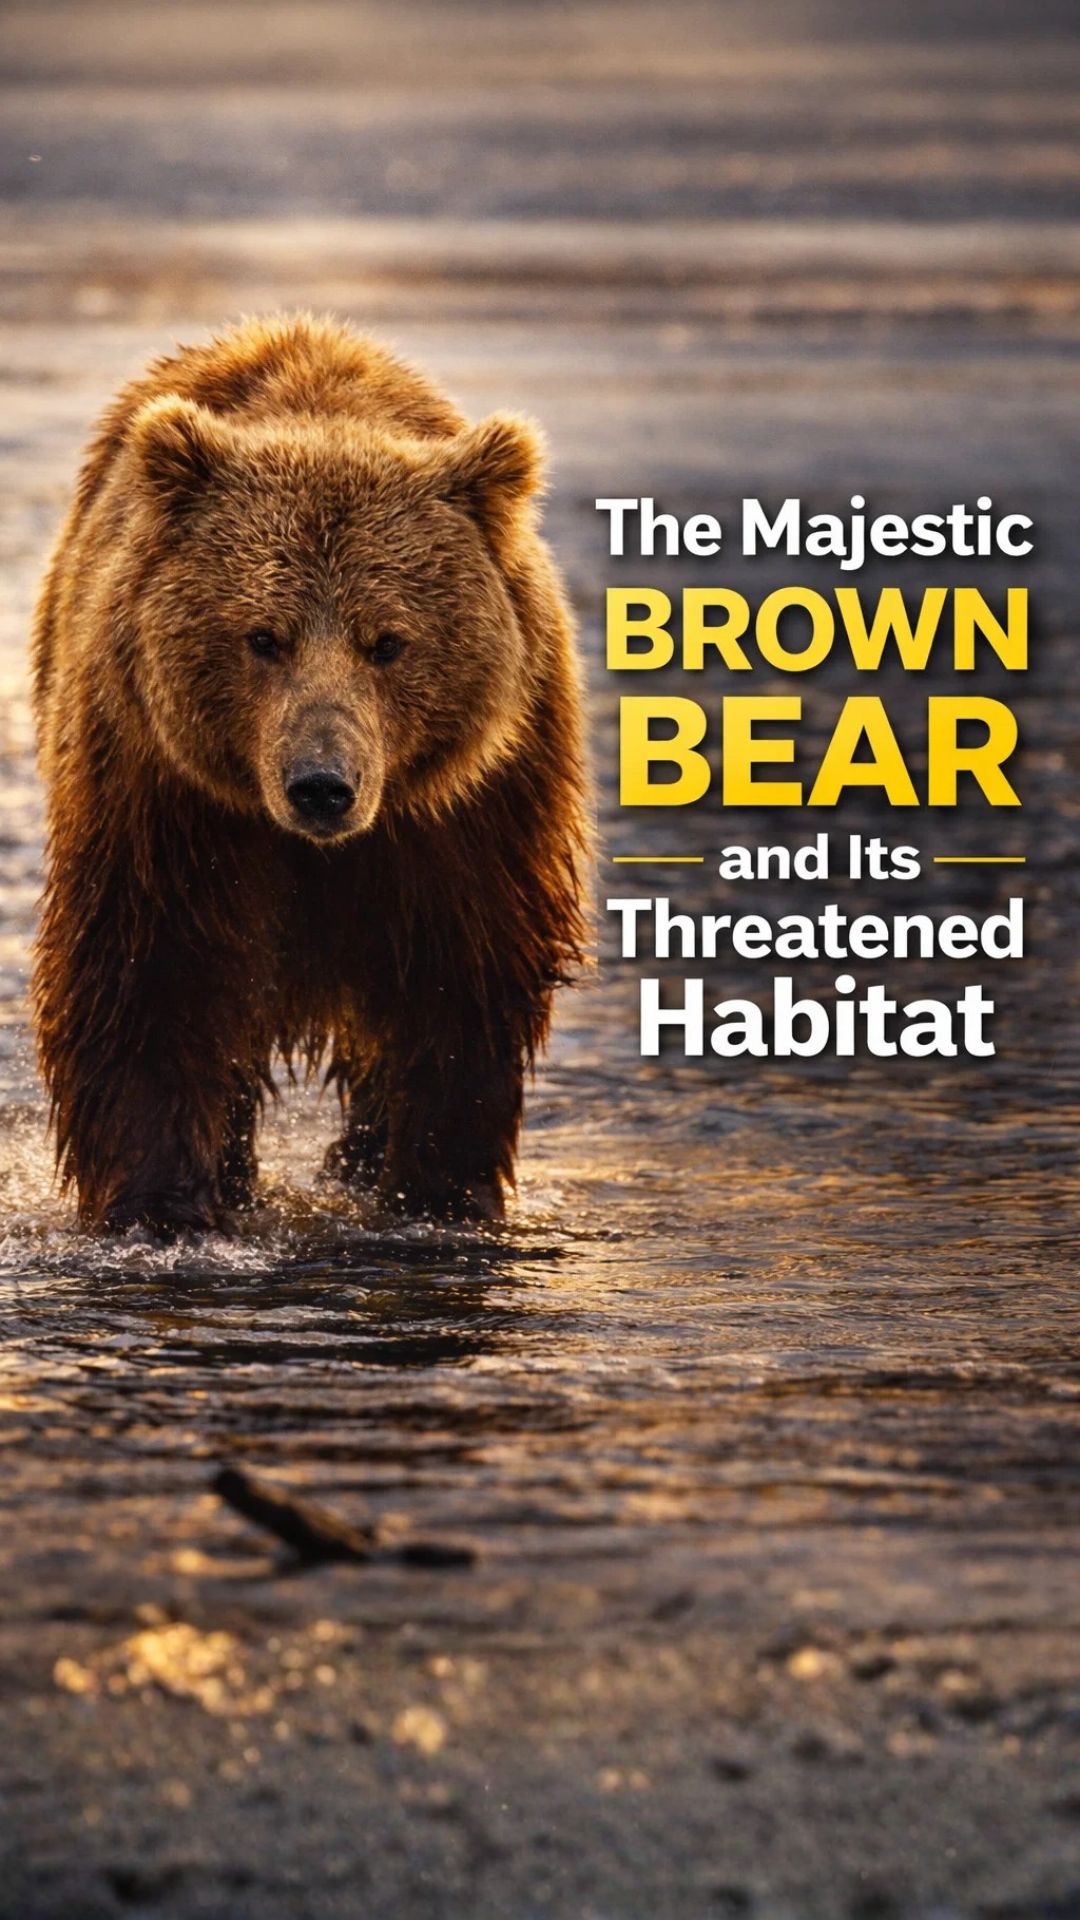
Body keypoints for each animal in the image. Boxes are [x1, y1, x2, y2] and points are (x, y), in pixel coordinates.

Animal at [31, 313, 589, 1235]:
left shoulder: (470, 815)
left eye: (388, 641)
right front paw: (162, 1205)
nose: (321, 784)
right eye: (264, 636)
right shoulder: (164, 798)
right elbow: (151, 976)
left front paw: (439, 1191)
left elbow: (460, 981)